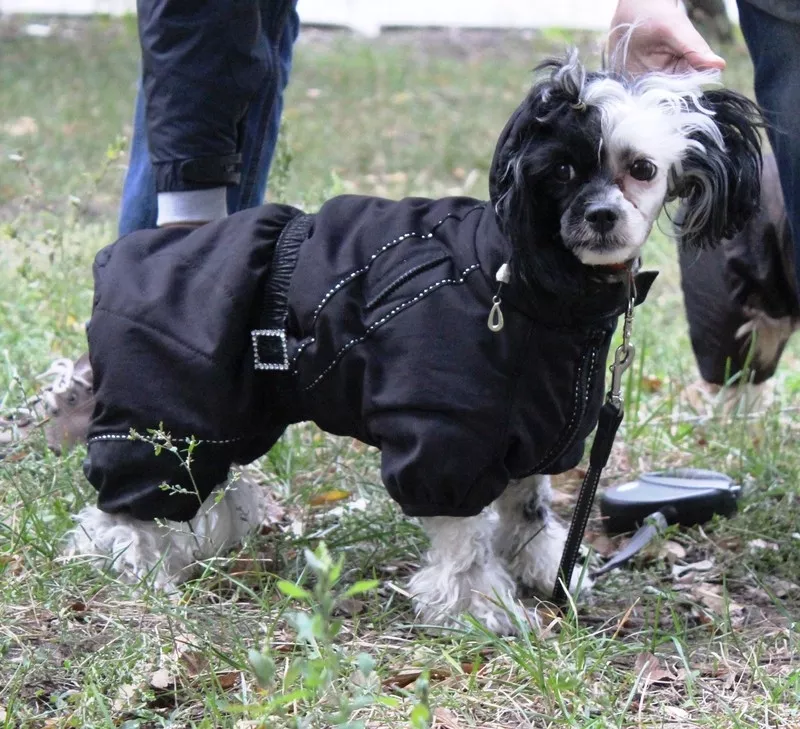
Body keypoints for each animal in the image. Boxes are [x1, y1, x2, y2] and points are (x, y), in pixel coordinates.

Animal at [65, 51, 760, 632]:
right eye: (562, 170)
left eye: (642, 169)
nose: (602, 216)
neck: (527, 283)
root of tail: (121, 256)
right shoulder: (448, 440)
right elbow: (465, 542)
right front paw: (481, 609)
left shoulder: (534, 433)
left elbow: (528, 511)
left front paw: (545, 571)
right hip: (167, 414)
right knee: (125, 510)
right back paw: (134, 567)